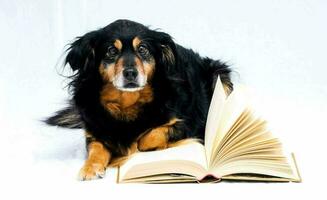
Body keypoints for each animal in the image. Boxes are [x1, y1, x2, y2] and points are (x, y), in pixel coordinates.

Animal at [45, 19, 233, 180]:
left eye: (143, 49)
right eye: (111, 51)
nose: (130, 73)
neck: (127, 102)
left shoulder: (186, 123)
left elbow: (149, 137)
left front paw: (136, 150)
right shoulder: (94, 131)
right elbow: (96, 149)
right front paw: (90, 167)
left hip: (219, 74)